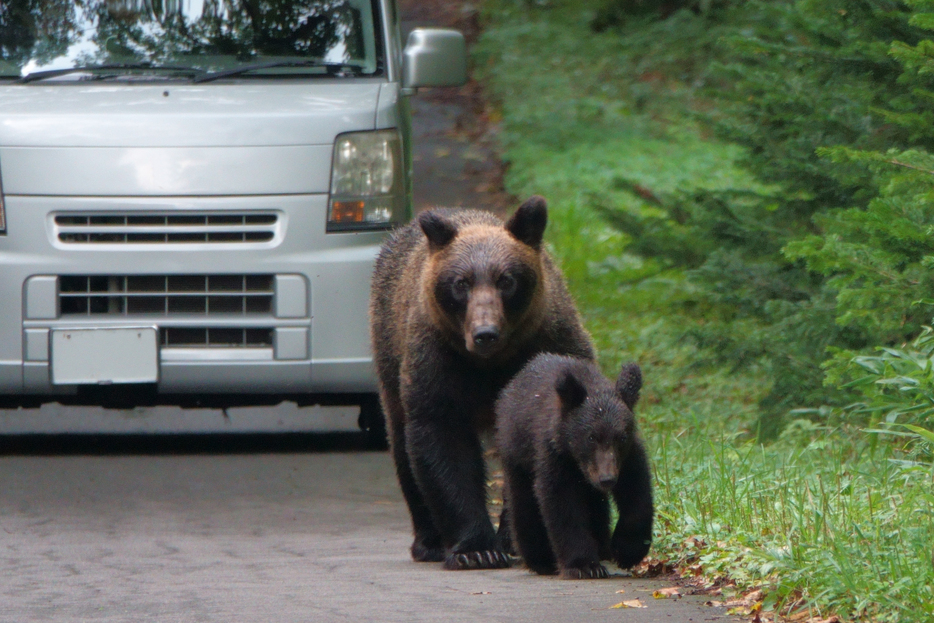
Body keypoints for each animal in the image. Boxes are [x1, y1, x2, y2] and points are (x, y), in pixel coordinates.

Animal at [372, 197, 596, 572]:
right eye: (461, 282)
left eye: (506, 279)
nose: (484, 333)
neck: (489, 364)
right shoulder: (438, 361)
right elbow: (443, 443)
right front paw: (476, 549)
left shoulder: (548, 345)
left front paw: (513, 538)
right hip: (389, 354)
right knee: (402, 445)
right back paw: (428, 542)